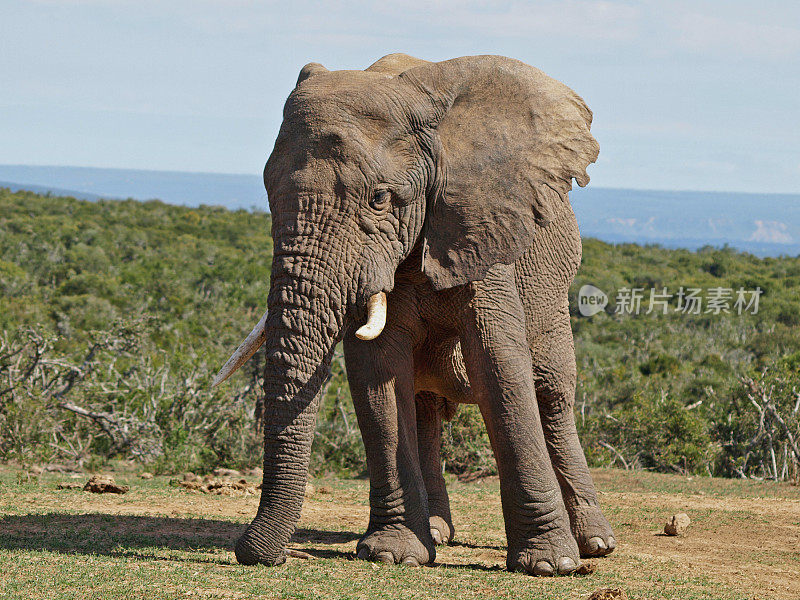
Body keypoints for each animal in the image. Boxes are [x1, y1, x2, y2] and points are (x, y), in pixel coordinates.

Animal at [211, 54, 612, 576]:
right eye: (268, 192)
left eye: (380, 199)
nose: (257, 554)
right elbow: (377, 373)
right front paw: (393, 554)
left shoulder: (482, 225)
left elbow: (499, 364)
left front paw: (549, 565)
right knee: (425, 407)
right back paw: (438, 532)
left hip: (553, 280)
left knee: (552, 390)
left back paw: (595, 544)